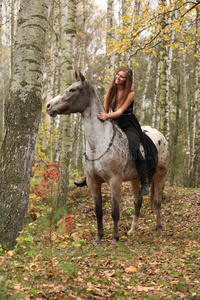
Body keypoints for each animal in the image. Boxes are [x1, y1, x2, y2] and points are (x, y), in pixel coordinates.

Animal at [46, 71, 170, 247]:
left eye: (72, 90)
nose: (48, 106)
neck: (97, 143)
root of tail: (160, 136)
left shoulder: (114, 181)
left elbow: (115, 212)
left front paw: (114, 240)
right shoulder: (93, 182)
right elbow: (98, 211)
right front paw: (98, 238)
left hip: (160, 176)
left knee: (158, 202)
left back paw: (159, 230)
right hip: (135, 179)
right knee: (138, 201)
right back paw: (132, 230)